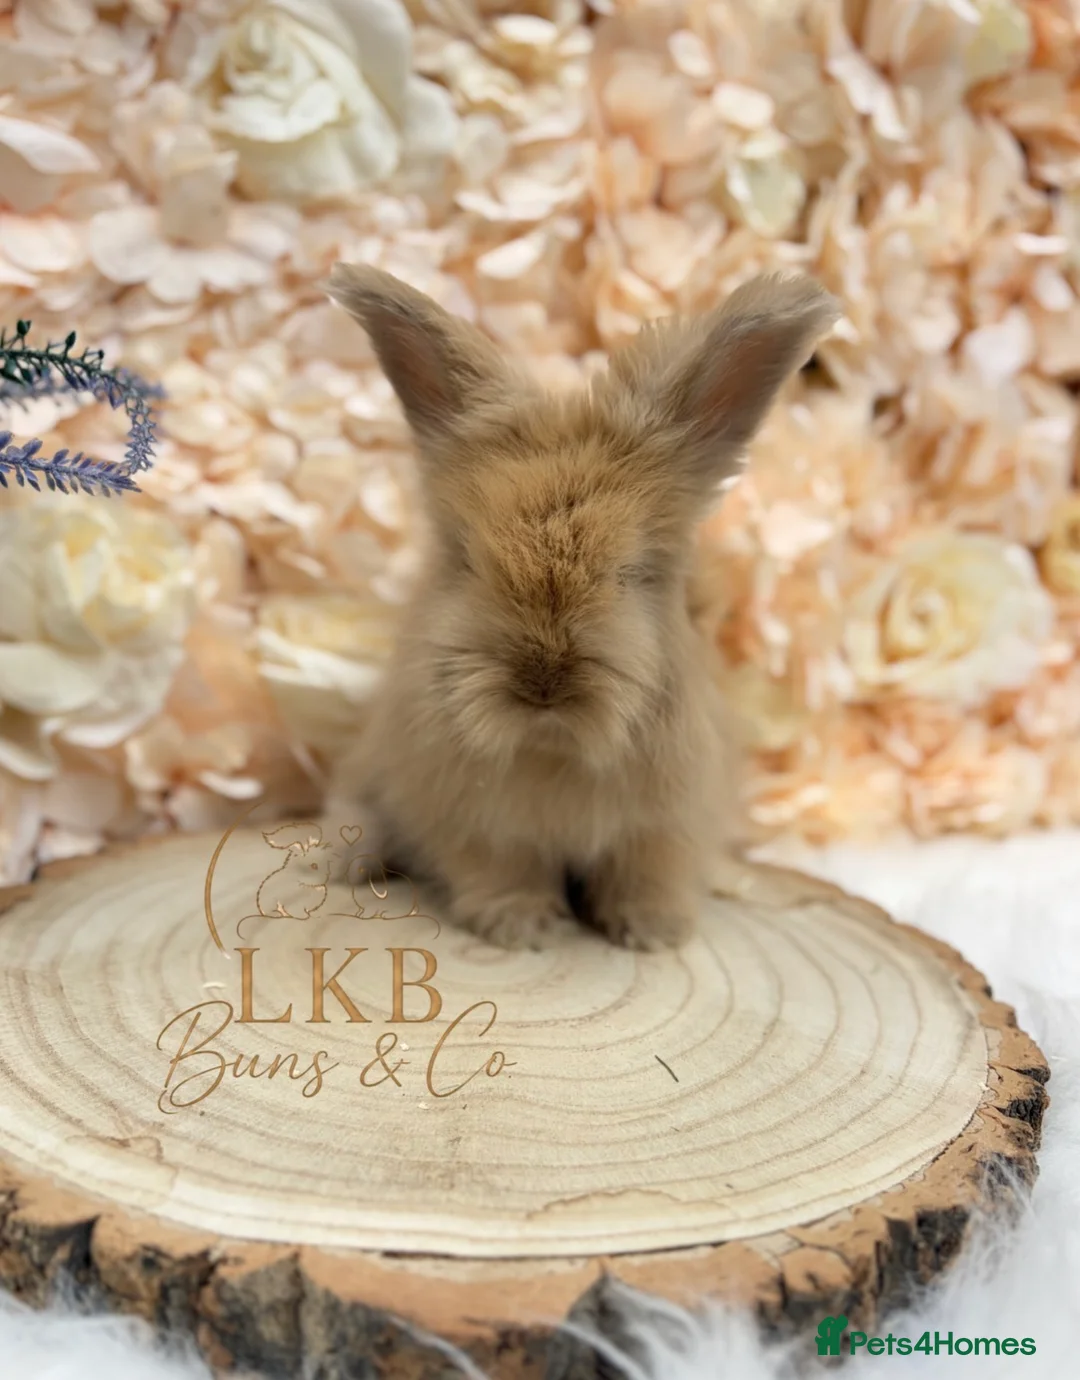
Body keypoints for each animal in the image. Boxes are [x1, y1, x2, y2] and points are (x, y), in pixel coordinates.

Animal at [321, 264, 840, 952]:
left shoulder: (662, 826)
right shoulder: (477, 823)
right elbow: (500, 870)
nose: (542, 685)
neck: (552, 747)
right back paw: (344, 862)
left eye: (634, 571)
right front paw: (522, 927)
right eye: (466, 559)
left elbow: (648, 874)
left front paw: (652, 932)